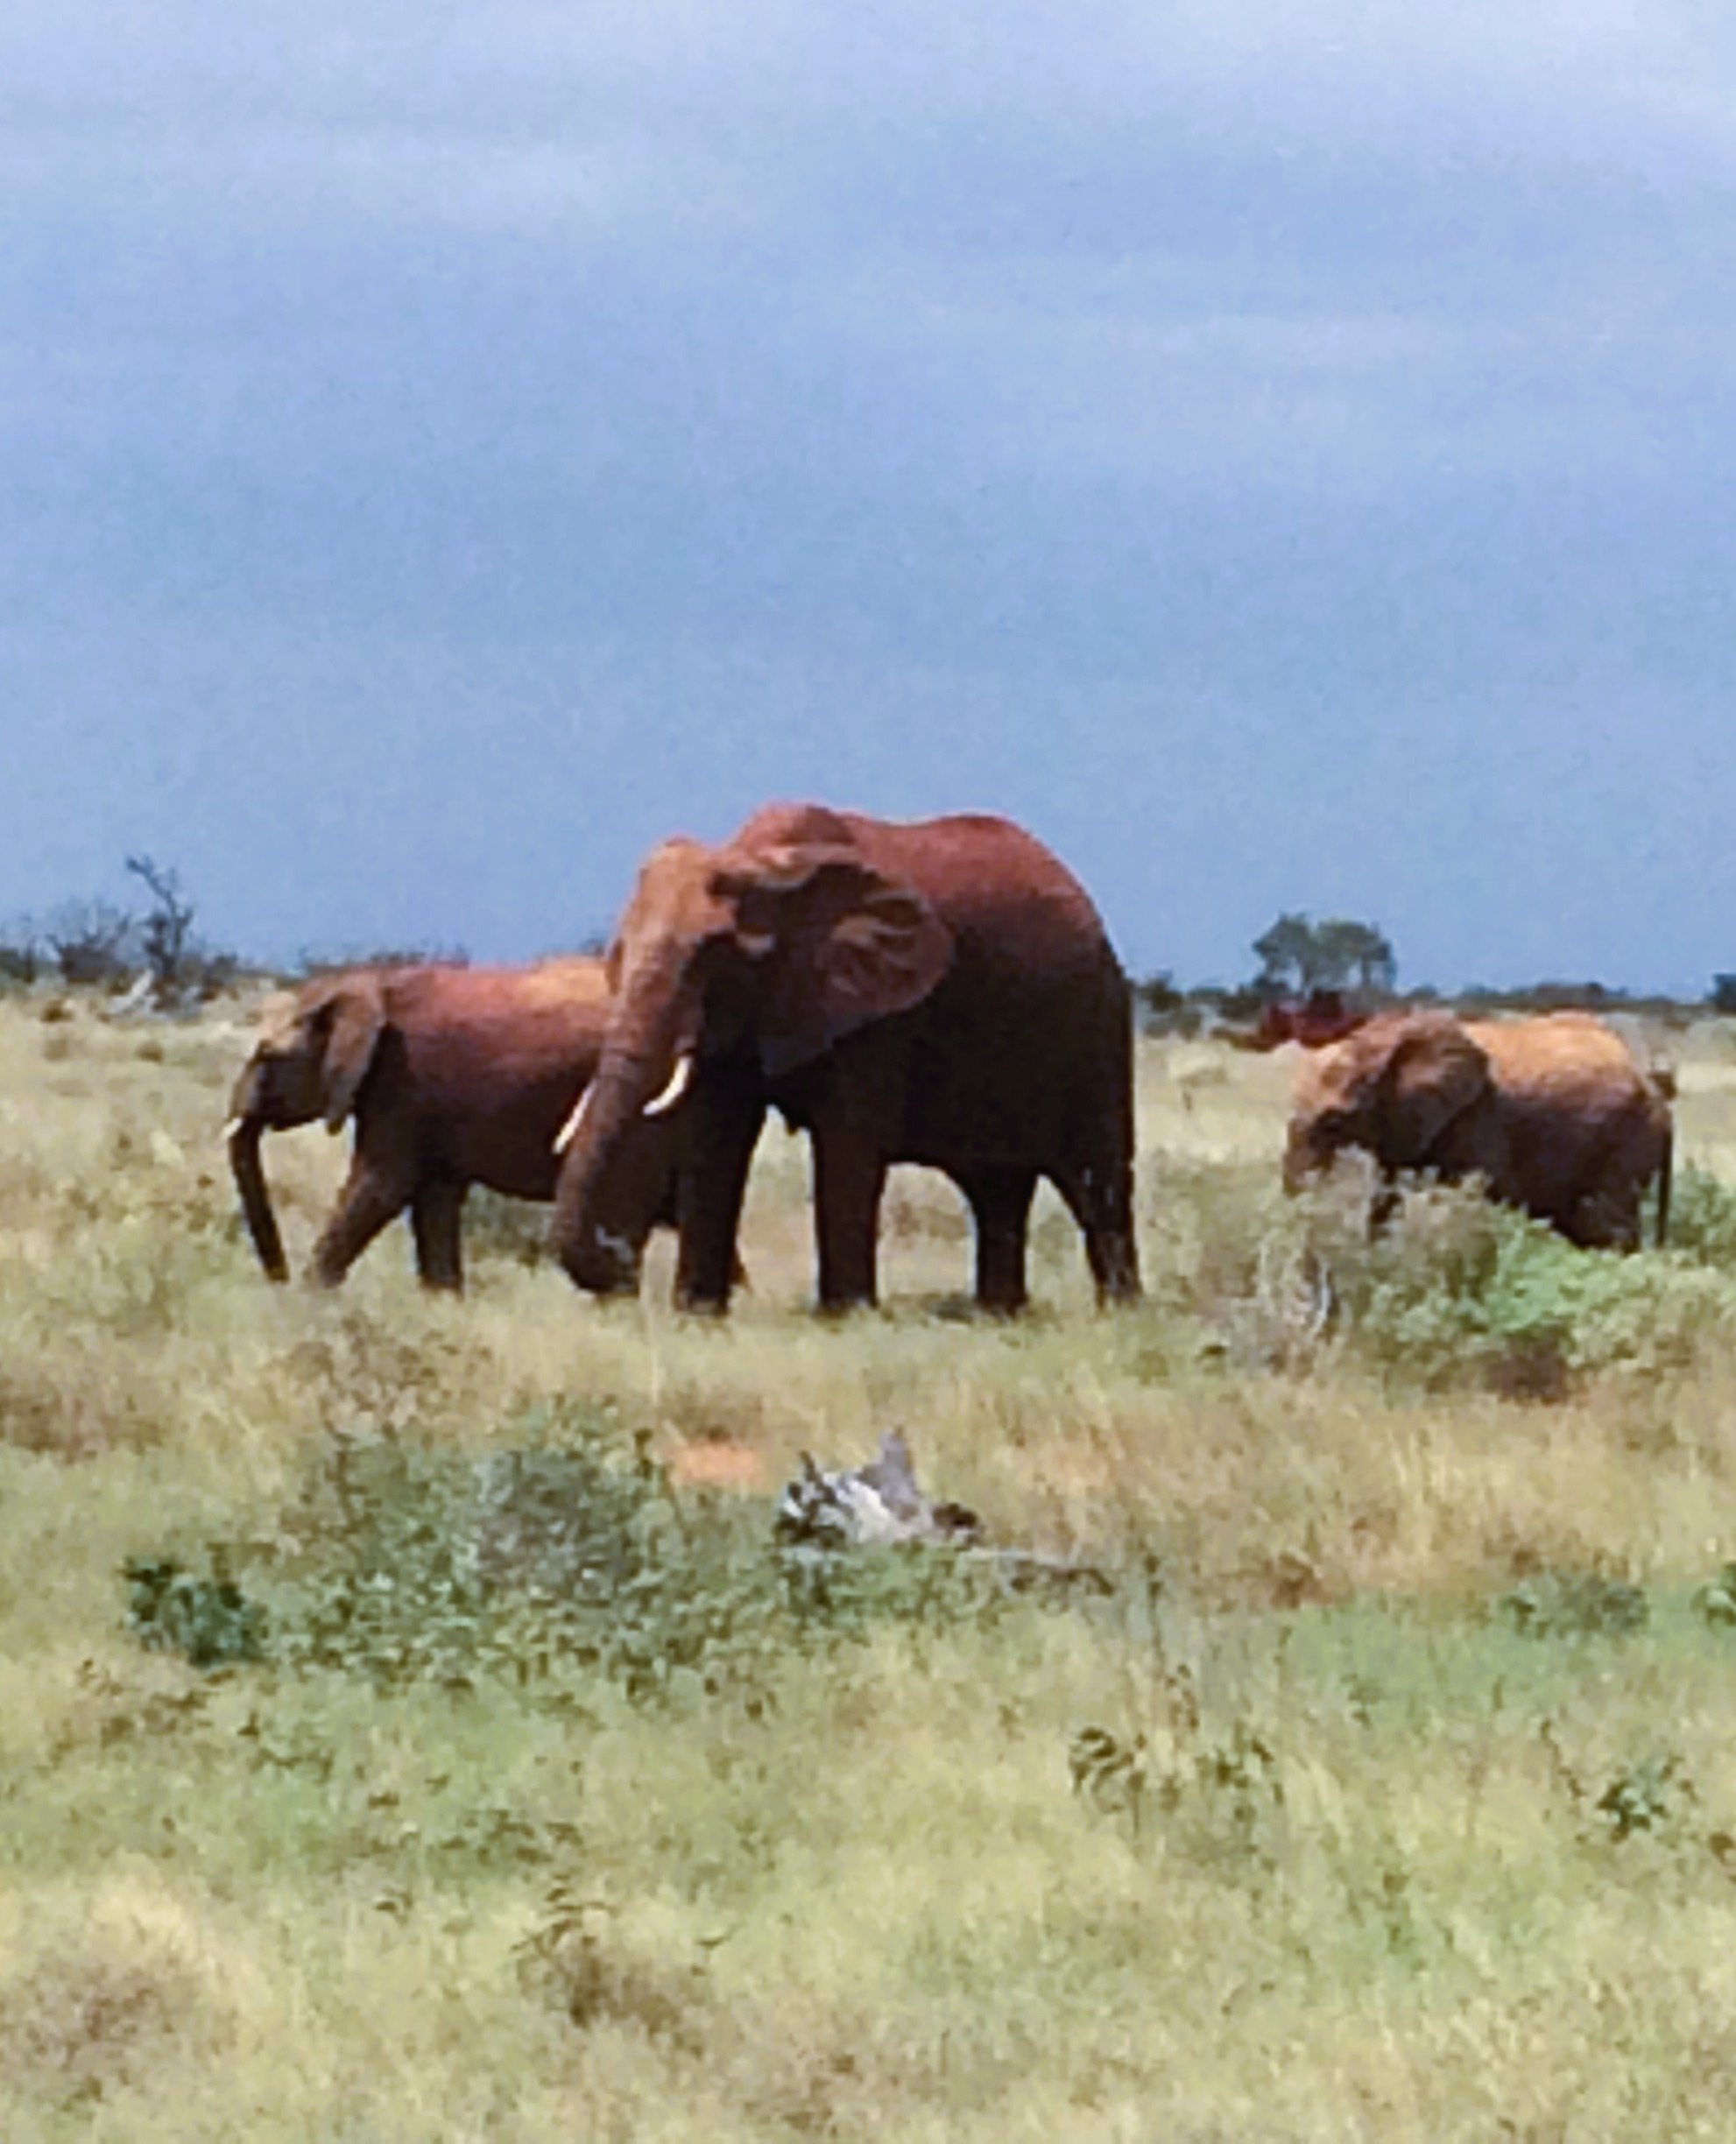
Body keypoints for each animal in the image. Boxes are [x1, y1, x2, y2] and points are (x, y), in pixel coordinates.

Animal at [226, 959, 693, 1291]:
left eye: (268, 1055)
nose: (278, 1278)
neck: (370, 983)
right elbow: (434, 1203)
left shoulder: (404, 1084)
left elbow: (379, 1188)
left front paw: (304, 1305)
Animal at [552, 801, 1141, 1314]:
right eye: (616, 953)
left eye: (710, 954)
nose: (617, 1256)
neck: (763, 862)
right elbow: (717, 1138)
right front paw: (697, 1317)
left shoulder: (876, 1014)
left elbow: (846, 1146)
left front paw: (844, 1317)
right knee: (996, 1189)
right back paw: (999, 1316)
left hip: (1096, 1023)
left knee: (1097, 1180)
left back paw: (1121, 1316)